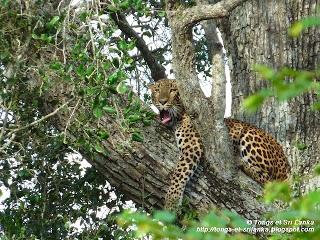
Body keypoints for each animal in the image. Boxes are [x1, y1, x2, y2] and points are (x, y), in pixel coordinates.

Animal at [149, 78, 292, 210]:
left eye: (173, 90)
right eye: (157, 91)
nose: (162, 102)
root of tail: (287, 166)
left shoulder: (192, 146)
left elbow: (179, 174)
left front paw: (171, 201)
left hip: (249, 135)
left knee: (271, 182)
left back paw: (241, 163)